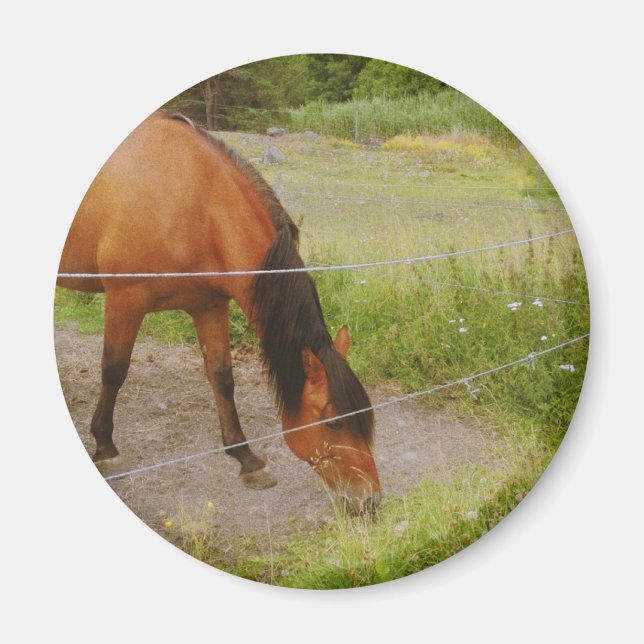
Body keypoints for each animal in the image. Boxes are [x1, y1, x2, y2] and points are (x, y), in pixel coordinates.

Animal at [57, 111, 380, 514]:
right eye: (335, 423)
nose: (370, 499)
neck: (193, 201)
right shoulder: (125, 300)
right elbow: (114, 371)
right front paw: (106, 448)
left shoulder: (209, 306)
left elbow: (222, 377)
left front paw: (247, 460)